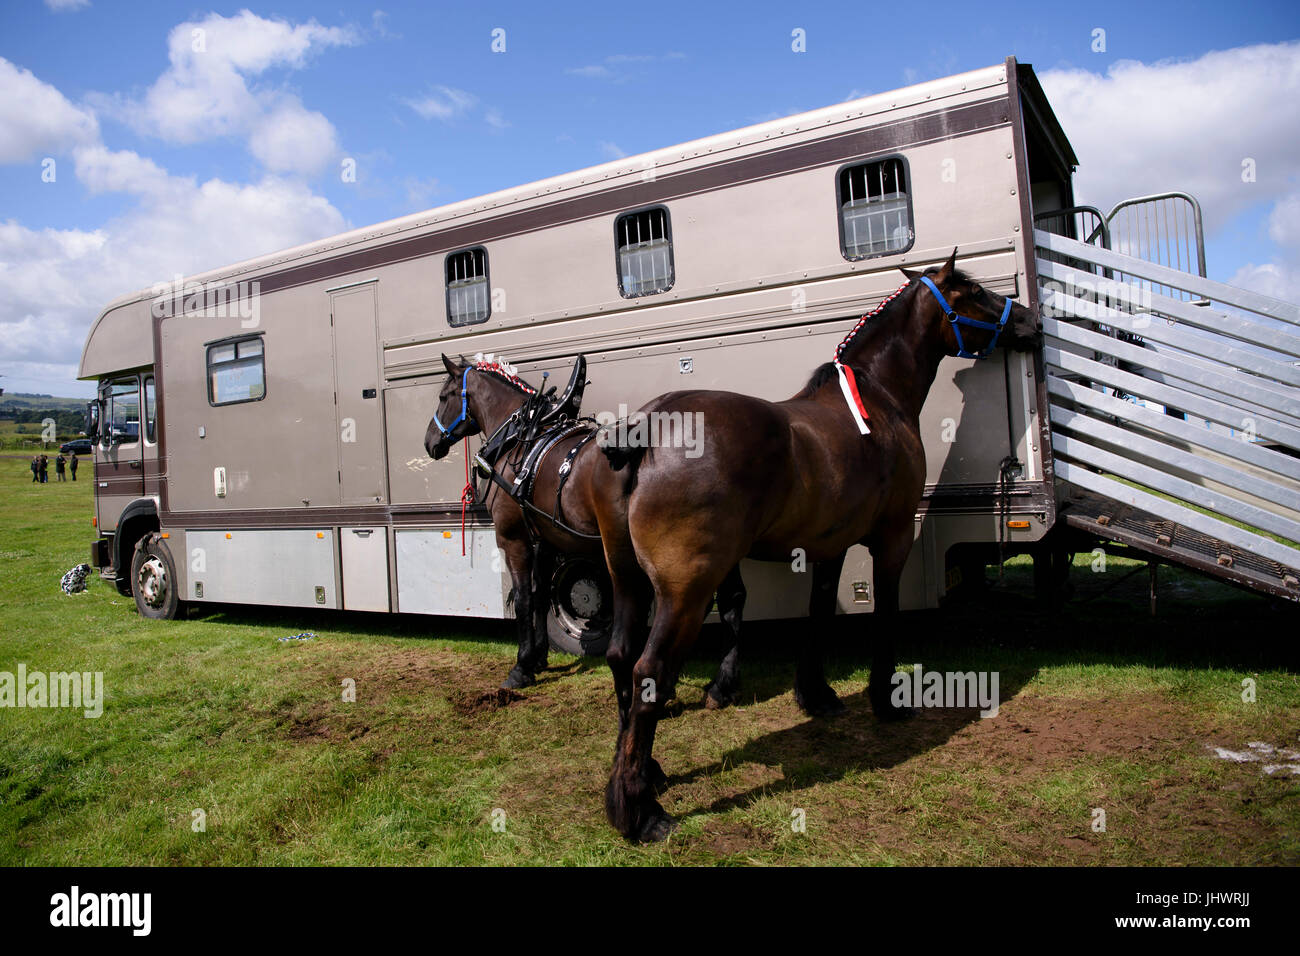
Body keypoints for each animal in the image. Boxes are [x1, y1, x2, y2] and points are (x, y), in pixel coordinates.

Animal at [423, 351, 748, 697]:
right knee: (729, 600)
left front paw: (522, 666)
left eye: (443, 396)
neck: (523, 440)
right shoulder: (546, 539)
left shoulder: (514, 539)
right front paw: (539, 658)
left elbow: (524, 599)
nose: (430, 442)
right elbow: (541, 596)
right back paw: (722, 683)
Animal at [595, 251, 1040, 842]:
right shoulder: (893, 539)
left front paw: (817, 695)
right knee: (649, 673)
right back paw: (640, 810)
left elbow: (819, 613)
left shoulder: (829, 547)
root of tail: (647, 427)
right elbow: (884, 616)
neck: (878, 401)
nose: (1031, 323)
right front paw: (885, 699)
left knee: (621, 657)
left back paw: (647, 774)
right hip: (684, 594)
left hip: (627, 582)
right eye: (973, 293)